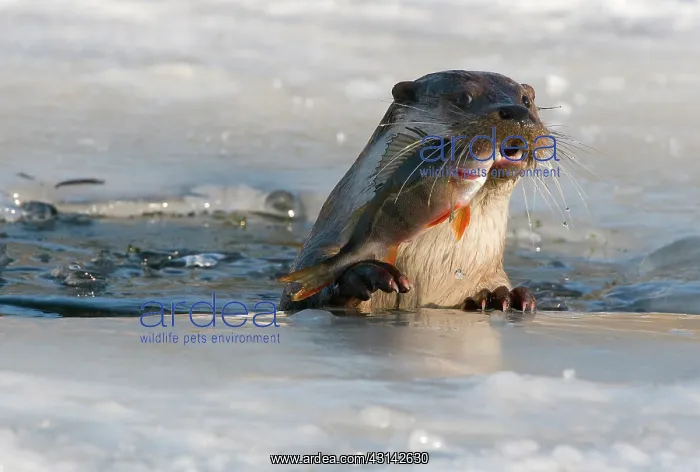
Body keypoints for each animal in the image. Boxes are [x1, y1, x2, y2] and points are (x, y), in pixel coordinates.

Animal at [280, 70, 551, 313]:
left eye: (526, 100)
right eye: (464, 98)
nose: (517, 112)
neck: (433, 265)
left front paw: (503, 295)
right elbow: (299, 295)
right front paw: (363, 275)